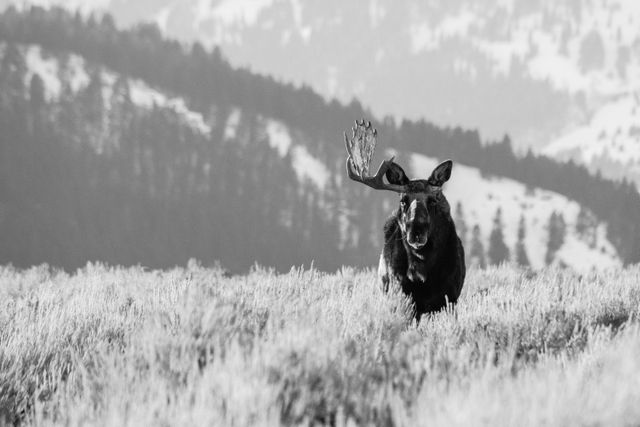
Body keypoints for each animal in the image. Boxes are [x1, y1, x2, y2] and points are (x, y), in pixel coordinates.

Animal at [344, 120, 464, 320]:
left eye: (433, 200)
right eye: (403, 200)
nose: (416, 231)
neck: (421, 270)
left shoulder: (449, 298)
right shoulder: (400, 294)